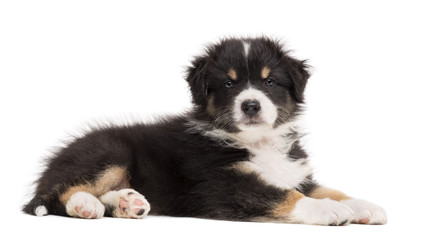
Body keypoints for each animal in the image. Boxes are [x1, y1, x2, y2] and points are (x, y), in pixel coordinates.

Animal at [22, 37, 386, 225]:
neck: (258, 142)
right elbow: (283, 194)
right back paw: (86, 205)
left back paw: (128, 203)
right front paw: (329, 210)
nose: (250, 105)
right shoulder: (221, 184)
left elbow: (325, 188)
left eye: (269, 81)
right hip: (109, 152)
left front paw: (363, 205)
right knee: (55, 195)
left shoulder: (295, 173)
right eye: (228, 83)